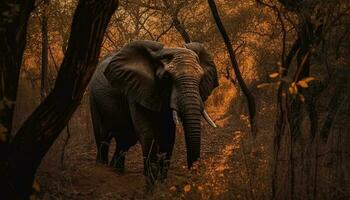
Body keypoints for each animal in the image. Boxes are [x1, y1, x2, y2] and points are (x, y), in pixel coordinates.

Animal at [89, 40, 217, 184]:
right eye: (166, 77)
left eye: (201, 77)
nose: (193, 171)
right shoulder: (136, 89)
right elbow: (147, 133)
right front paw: (152, 184)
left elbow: (168, 135)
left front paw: (161, 183)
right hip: (94, 99)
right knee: (103, 137)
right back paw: (102, 169)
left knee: (125, 140)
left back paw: (117, 171)